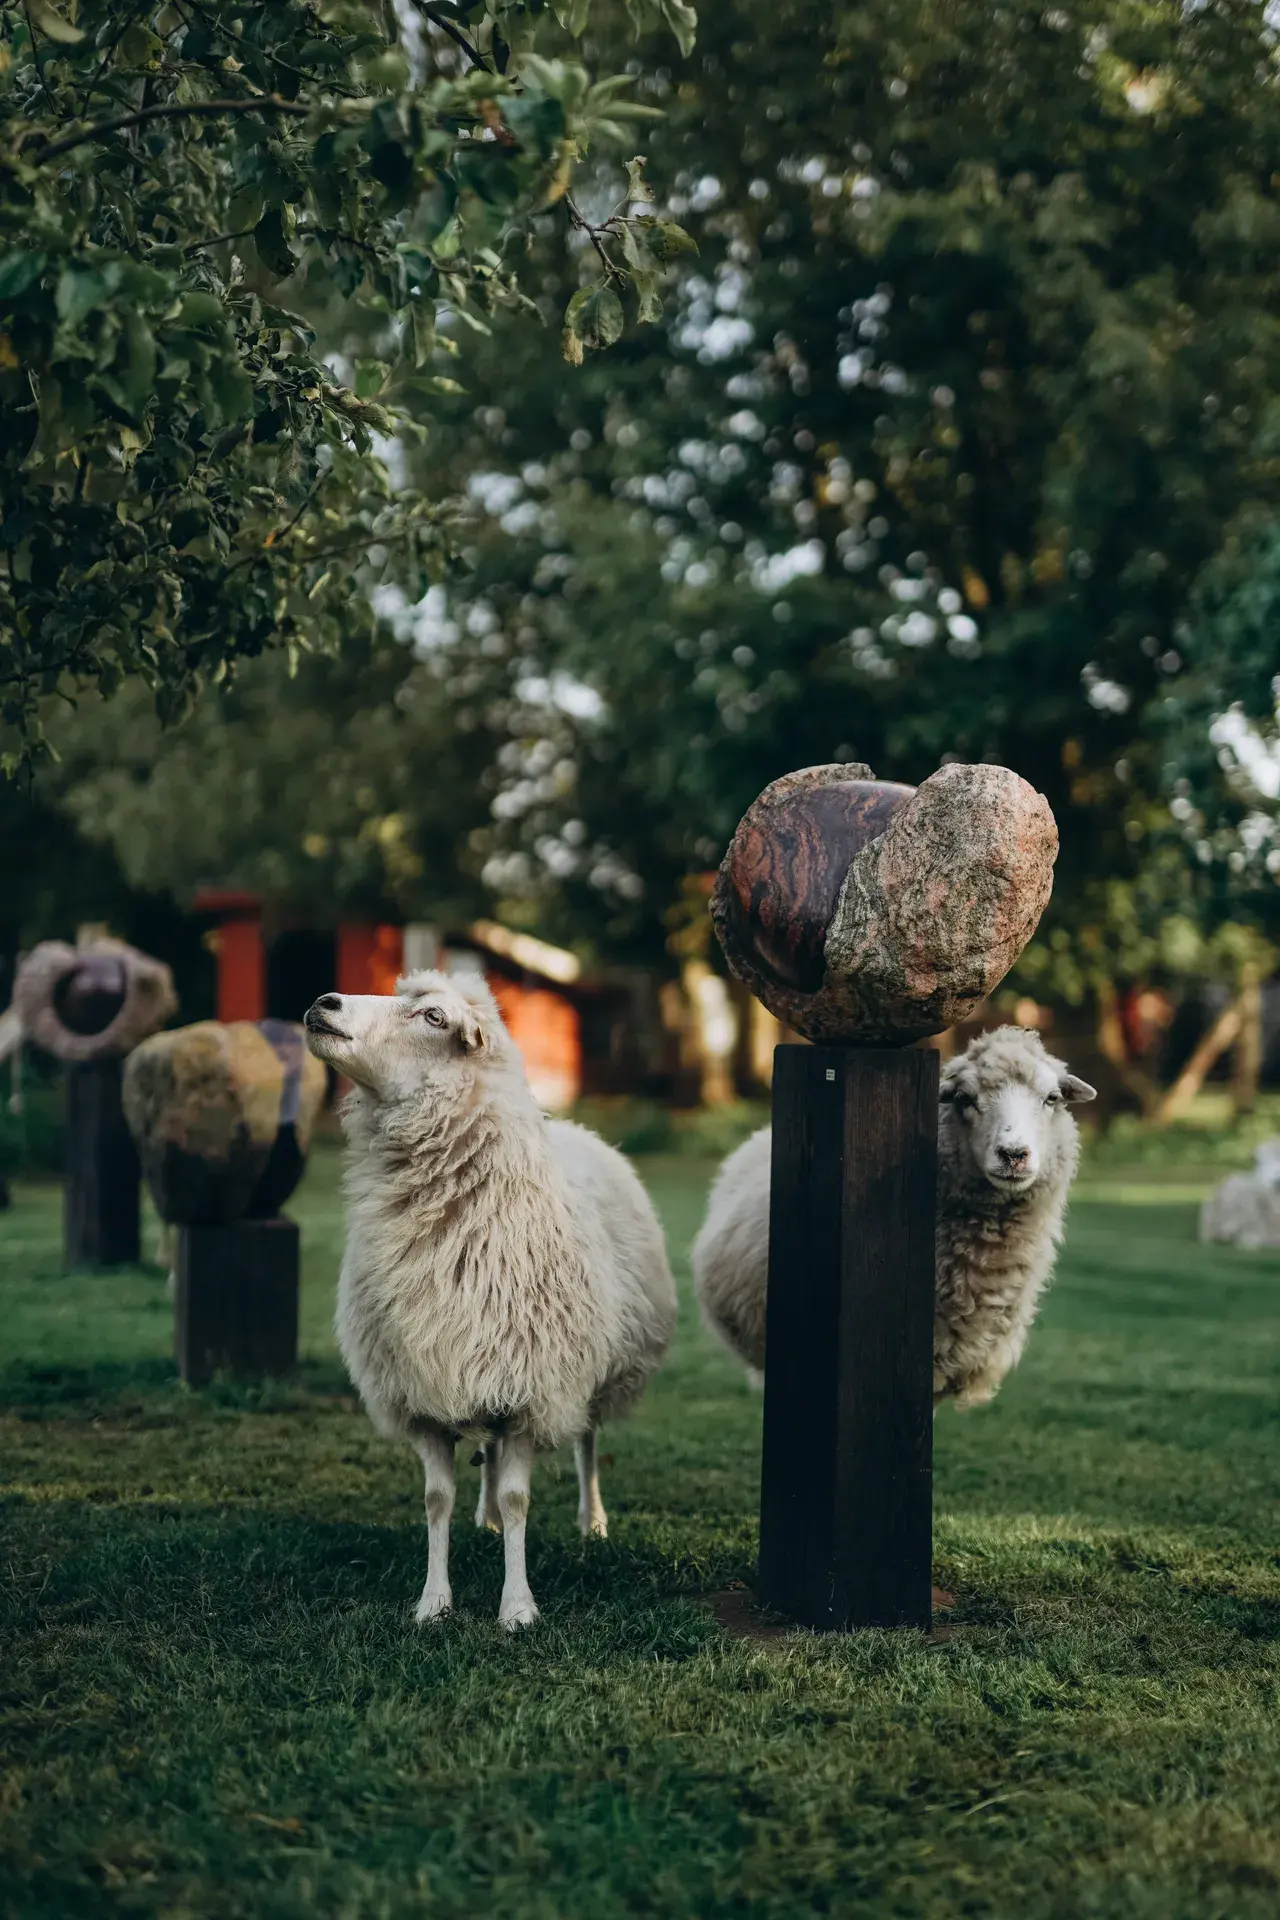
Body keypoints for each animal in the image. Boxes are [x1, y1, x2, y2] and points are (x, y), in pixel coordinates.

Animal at [303, 970, 676, 1629]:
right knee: (489, 1450)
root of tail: (574, 1127)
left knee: (586, 1443)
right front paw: (433, 1601)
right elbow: (436, 1498)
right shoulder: (426, 1390)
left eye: (433, 1017)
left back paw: (592, 1521)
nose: (325, 1002)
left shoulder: (534, 1388)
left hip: (584, 1372)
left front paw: (517, 1606)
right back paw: (486, 1520)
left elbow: (520, 1494)